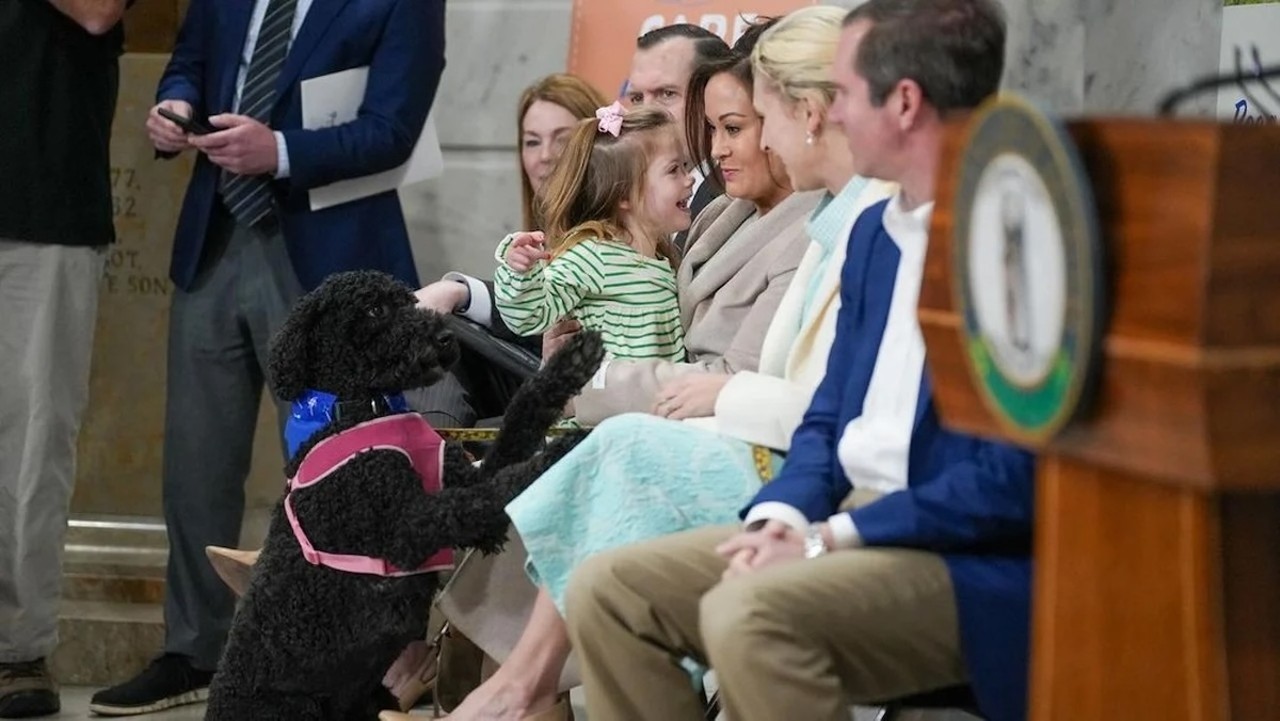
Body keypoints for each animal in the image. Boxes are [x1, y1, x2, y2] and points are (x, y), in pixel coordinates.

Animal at [206, 272, 604, 721]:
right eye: (375, 310)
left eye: (409, 302)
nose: (446, 337)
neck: (361, 408)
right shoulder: (412, 527)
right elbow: (491, 491)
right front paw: (562, 452)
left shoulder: (460, 479)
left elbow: (518, 421)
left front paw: (567, 366)